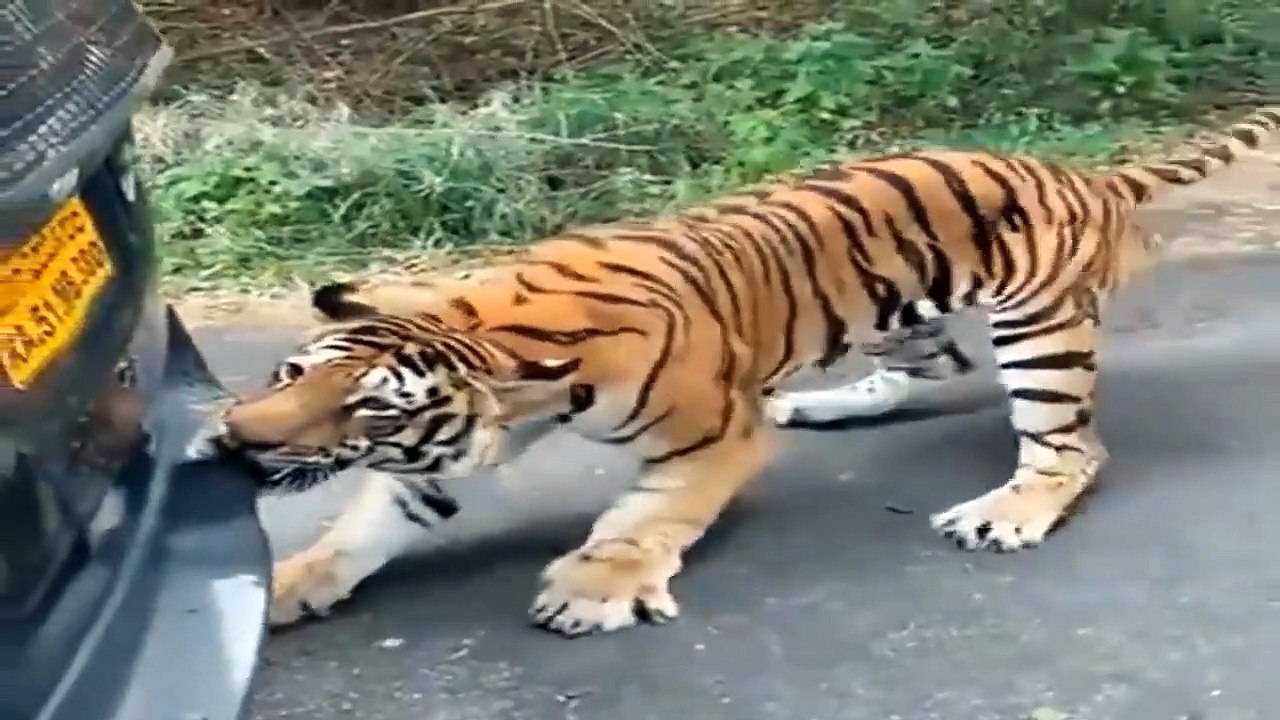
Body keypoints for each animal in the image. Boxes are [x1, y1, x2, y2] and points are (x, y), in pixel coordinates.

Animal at [187, 107, 1279, 637]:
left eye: (365, 412)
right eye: (287, 370)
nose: (236, 438)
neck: (496, 339)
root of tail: (1076, 172)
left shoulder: (708, 437)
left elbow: (645, 519)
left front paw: (595, 589)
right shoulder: (440, 460)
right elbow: (359, 530)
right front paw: (288, 584)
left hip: (1039, 335)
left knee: (1067, 448)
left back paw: (1005, 512)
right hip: (899, 314)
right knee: (926, 367)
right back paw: (823, 406)